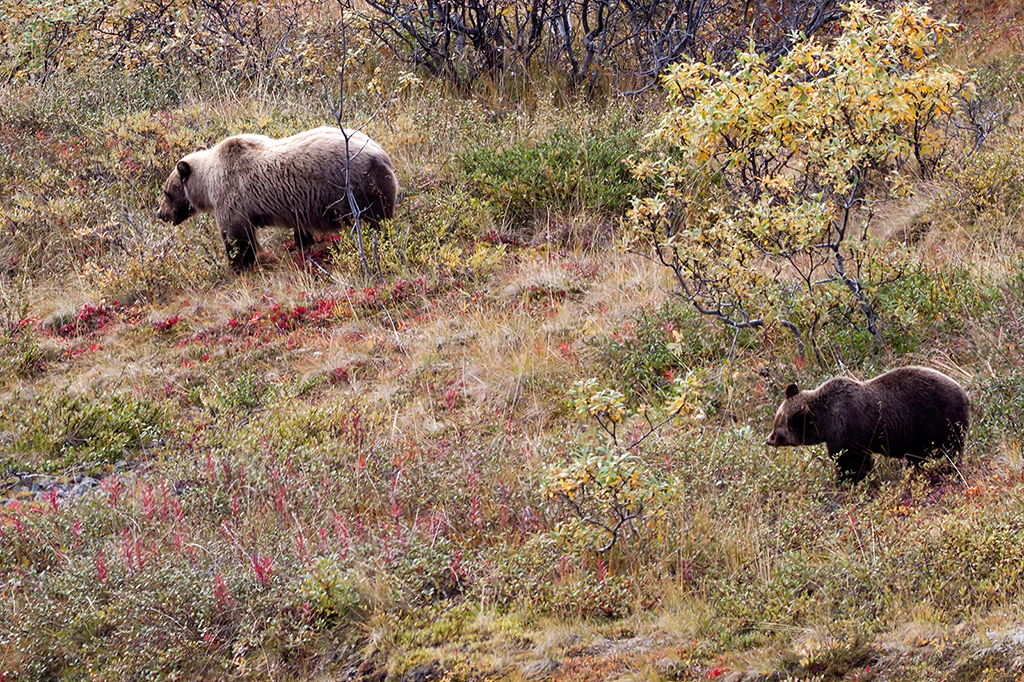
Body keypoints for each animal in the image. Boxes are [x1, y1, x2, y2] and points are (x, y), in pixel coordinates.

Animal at [154, 125, 395, 270]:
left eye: (167, 193)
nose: (160, 213)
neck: (208, 183)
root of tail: (382, 154)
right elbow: (299, 230)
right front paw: (302, 242)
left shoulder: (232, 198)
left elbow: (236, 236)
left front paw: (238, 264)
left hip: (361, 188)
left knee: (374, 220)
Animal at [765, 364, 970, 481]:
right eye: (775, 422)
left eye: (778, 428)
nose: (768, 439)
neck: (826, 421)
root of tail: (963, 393)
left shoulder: (848, 429)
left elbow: (850, 462)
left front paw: (848, 482)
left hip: (936, 421)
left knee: (945, 451)